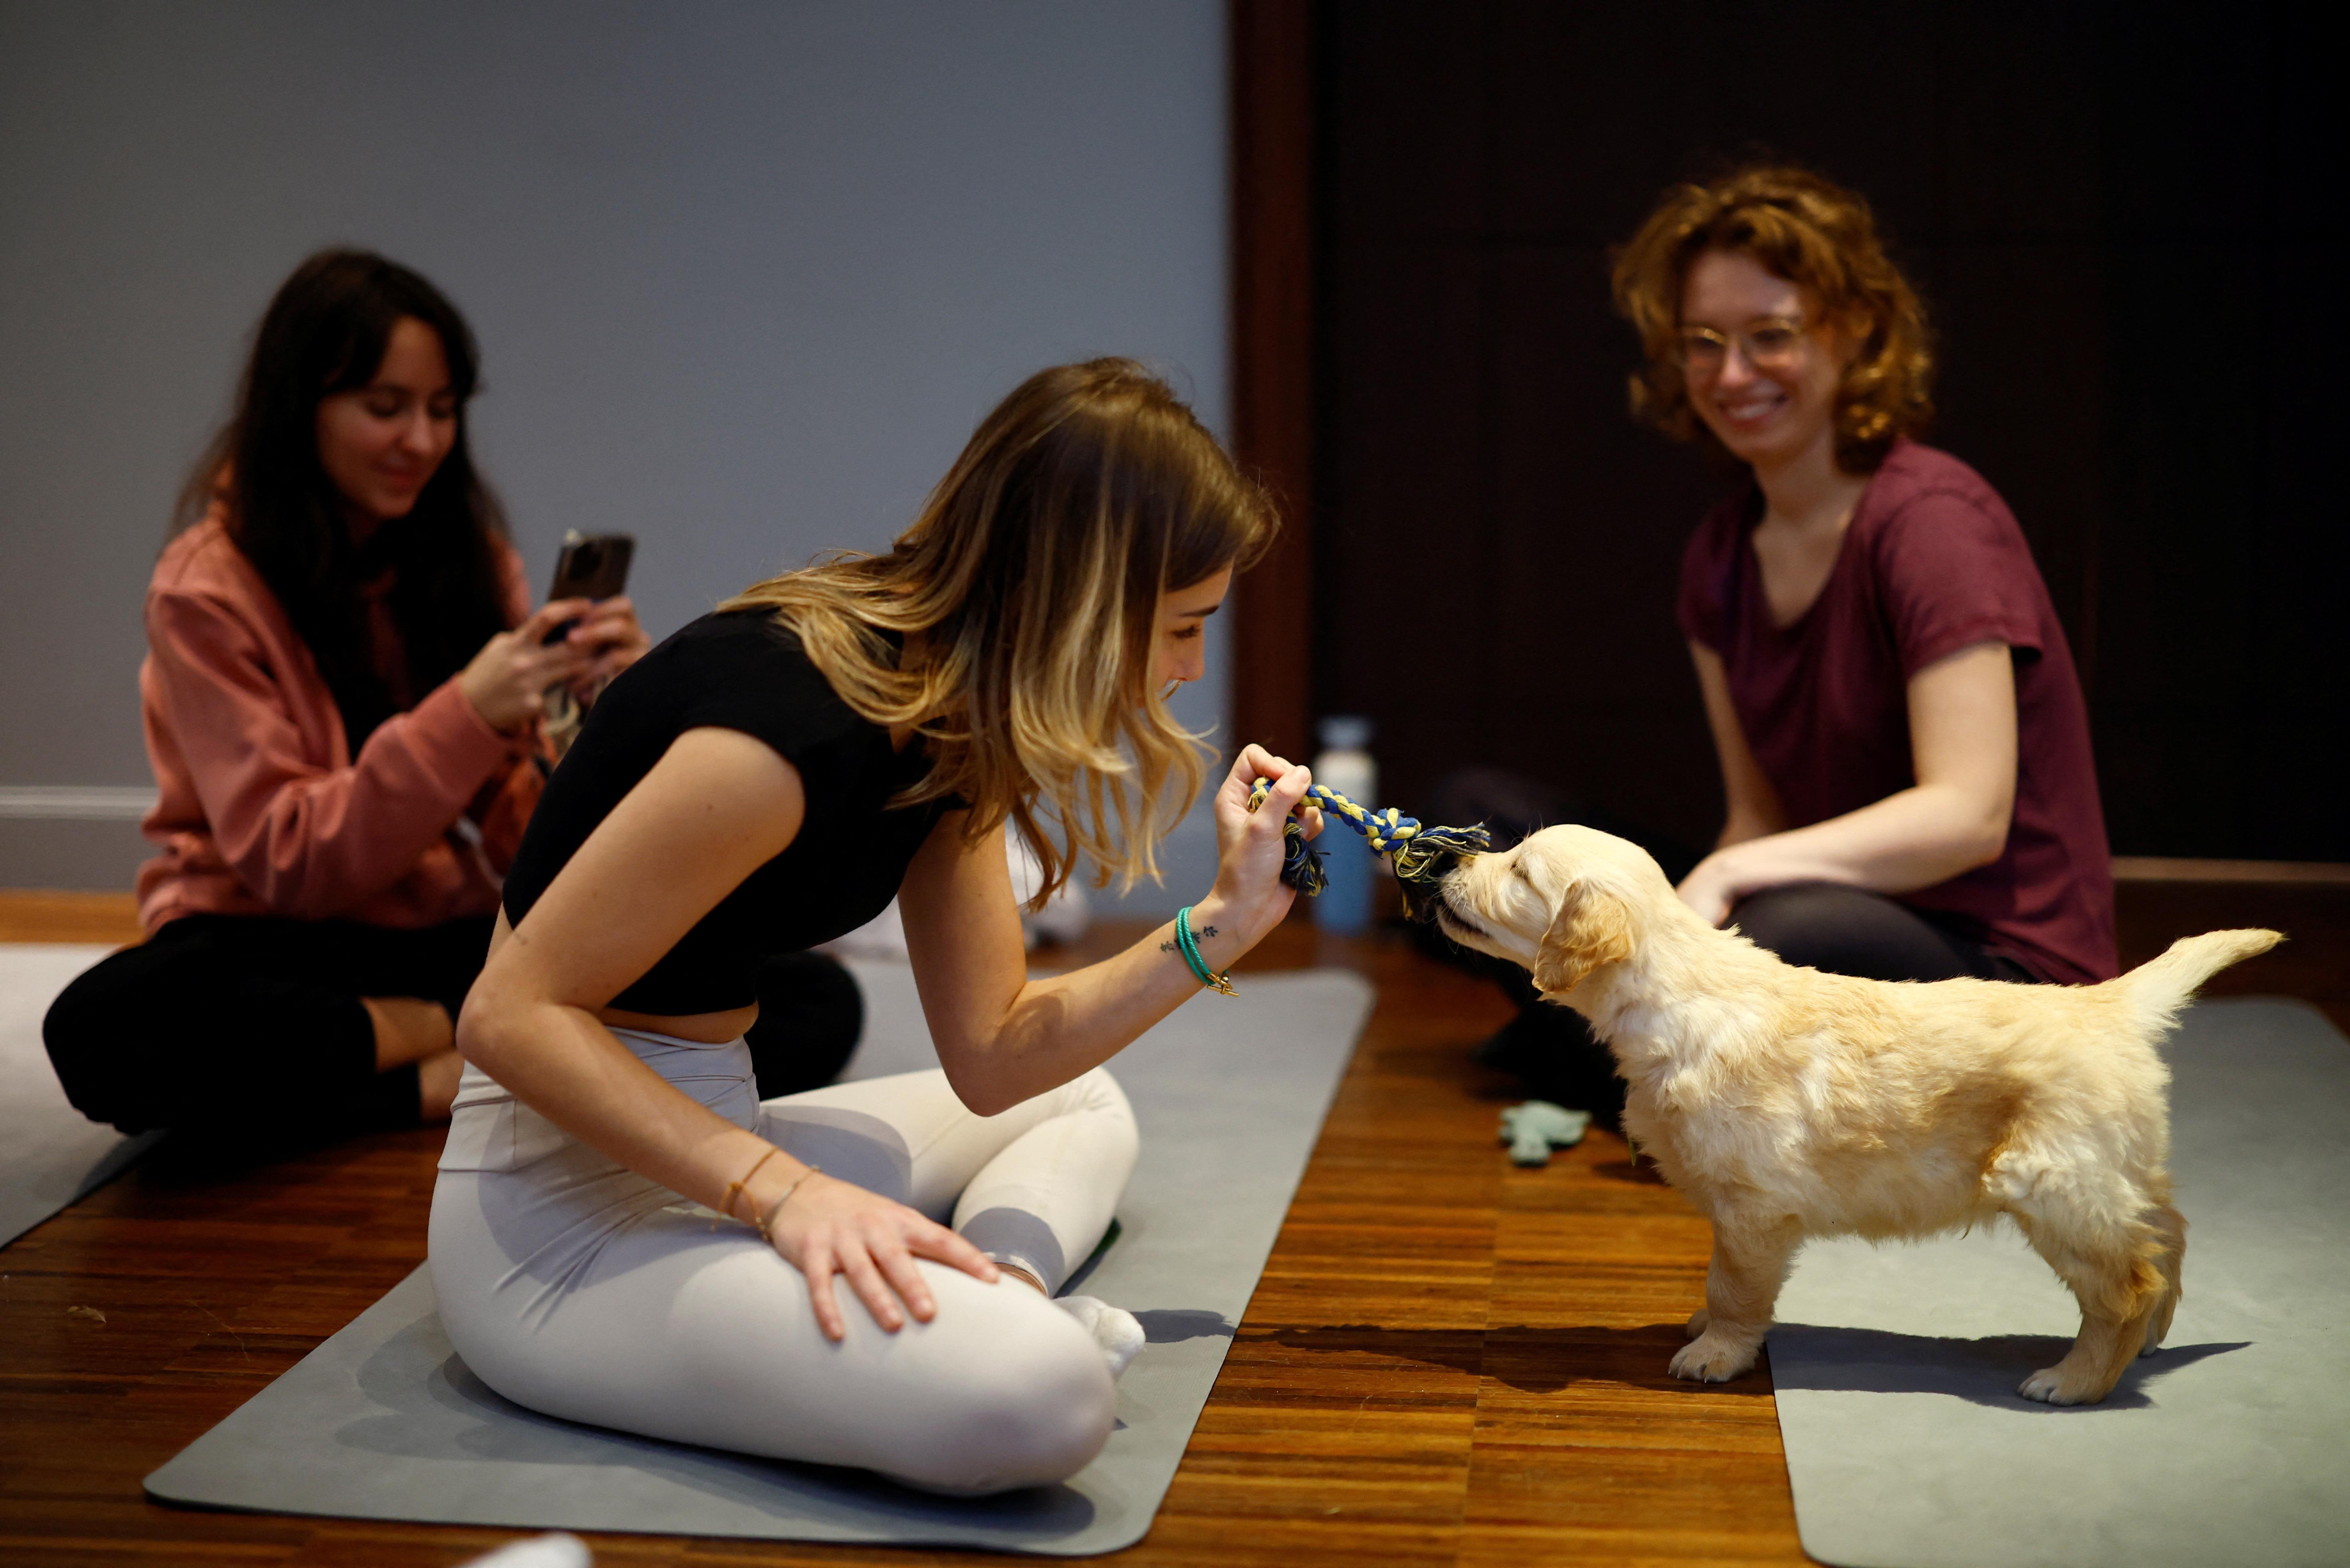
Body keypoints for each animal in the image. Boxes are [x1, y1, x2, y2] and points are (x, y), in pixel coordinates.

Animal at [1429, 827, 2275, 1401]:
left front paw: (1716, 1353)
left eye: (1520, 870)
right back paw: (2151, 1342)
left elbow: (1732, 1287)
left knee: (2128, 1281)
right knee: (2168, 1237)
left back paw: (2075, 1379)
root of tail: (2111, 1003)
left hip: (2050, 1180)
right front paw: (1706, 1333)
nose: (1448, 864)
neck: (1675, 990)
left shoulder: (1753, 1206)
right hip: (2113, 1166)